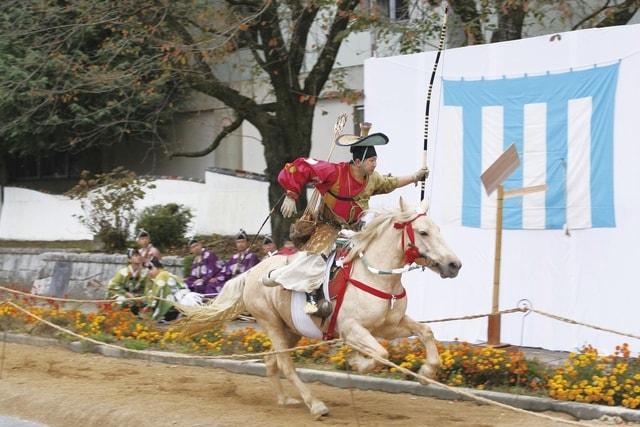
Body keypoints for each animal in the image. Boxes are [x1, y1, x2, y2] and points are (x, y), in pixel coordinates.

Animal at [180, 197, 460, 418]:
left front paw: (427, 370)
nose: (454, 264)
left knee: (272, 360)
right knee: (285, 364)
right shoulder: (351, 329)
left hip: (291, 328)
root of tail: (251, 272)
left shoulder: (390, 326)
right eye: (423, 232)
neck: (375, 276)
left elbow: (425, 332)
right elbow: (381, 353)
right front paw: (357, 362)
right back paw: (315, 404)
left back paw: (285, 399)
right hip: (270, 321)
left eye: (437, 229)